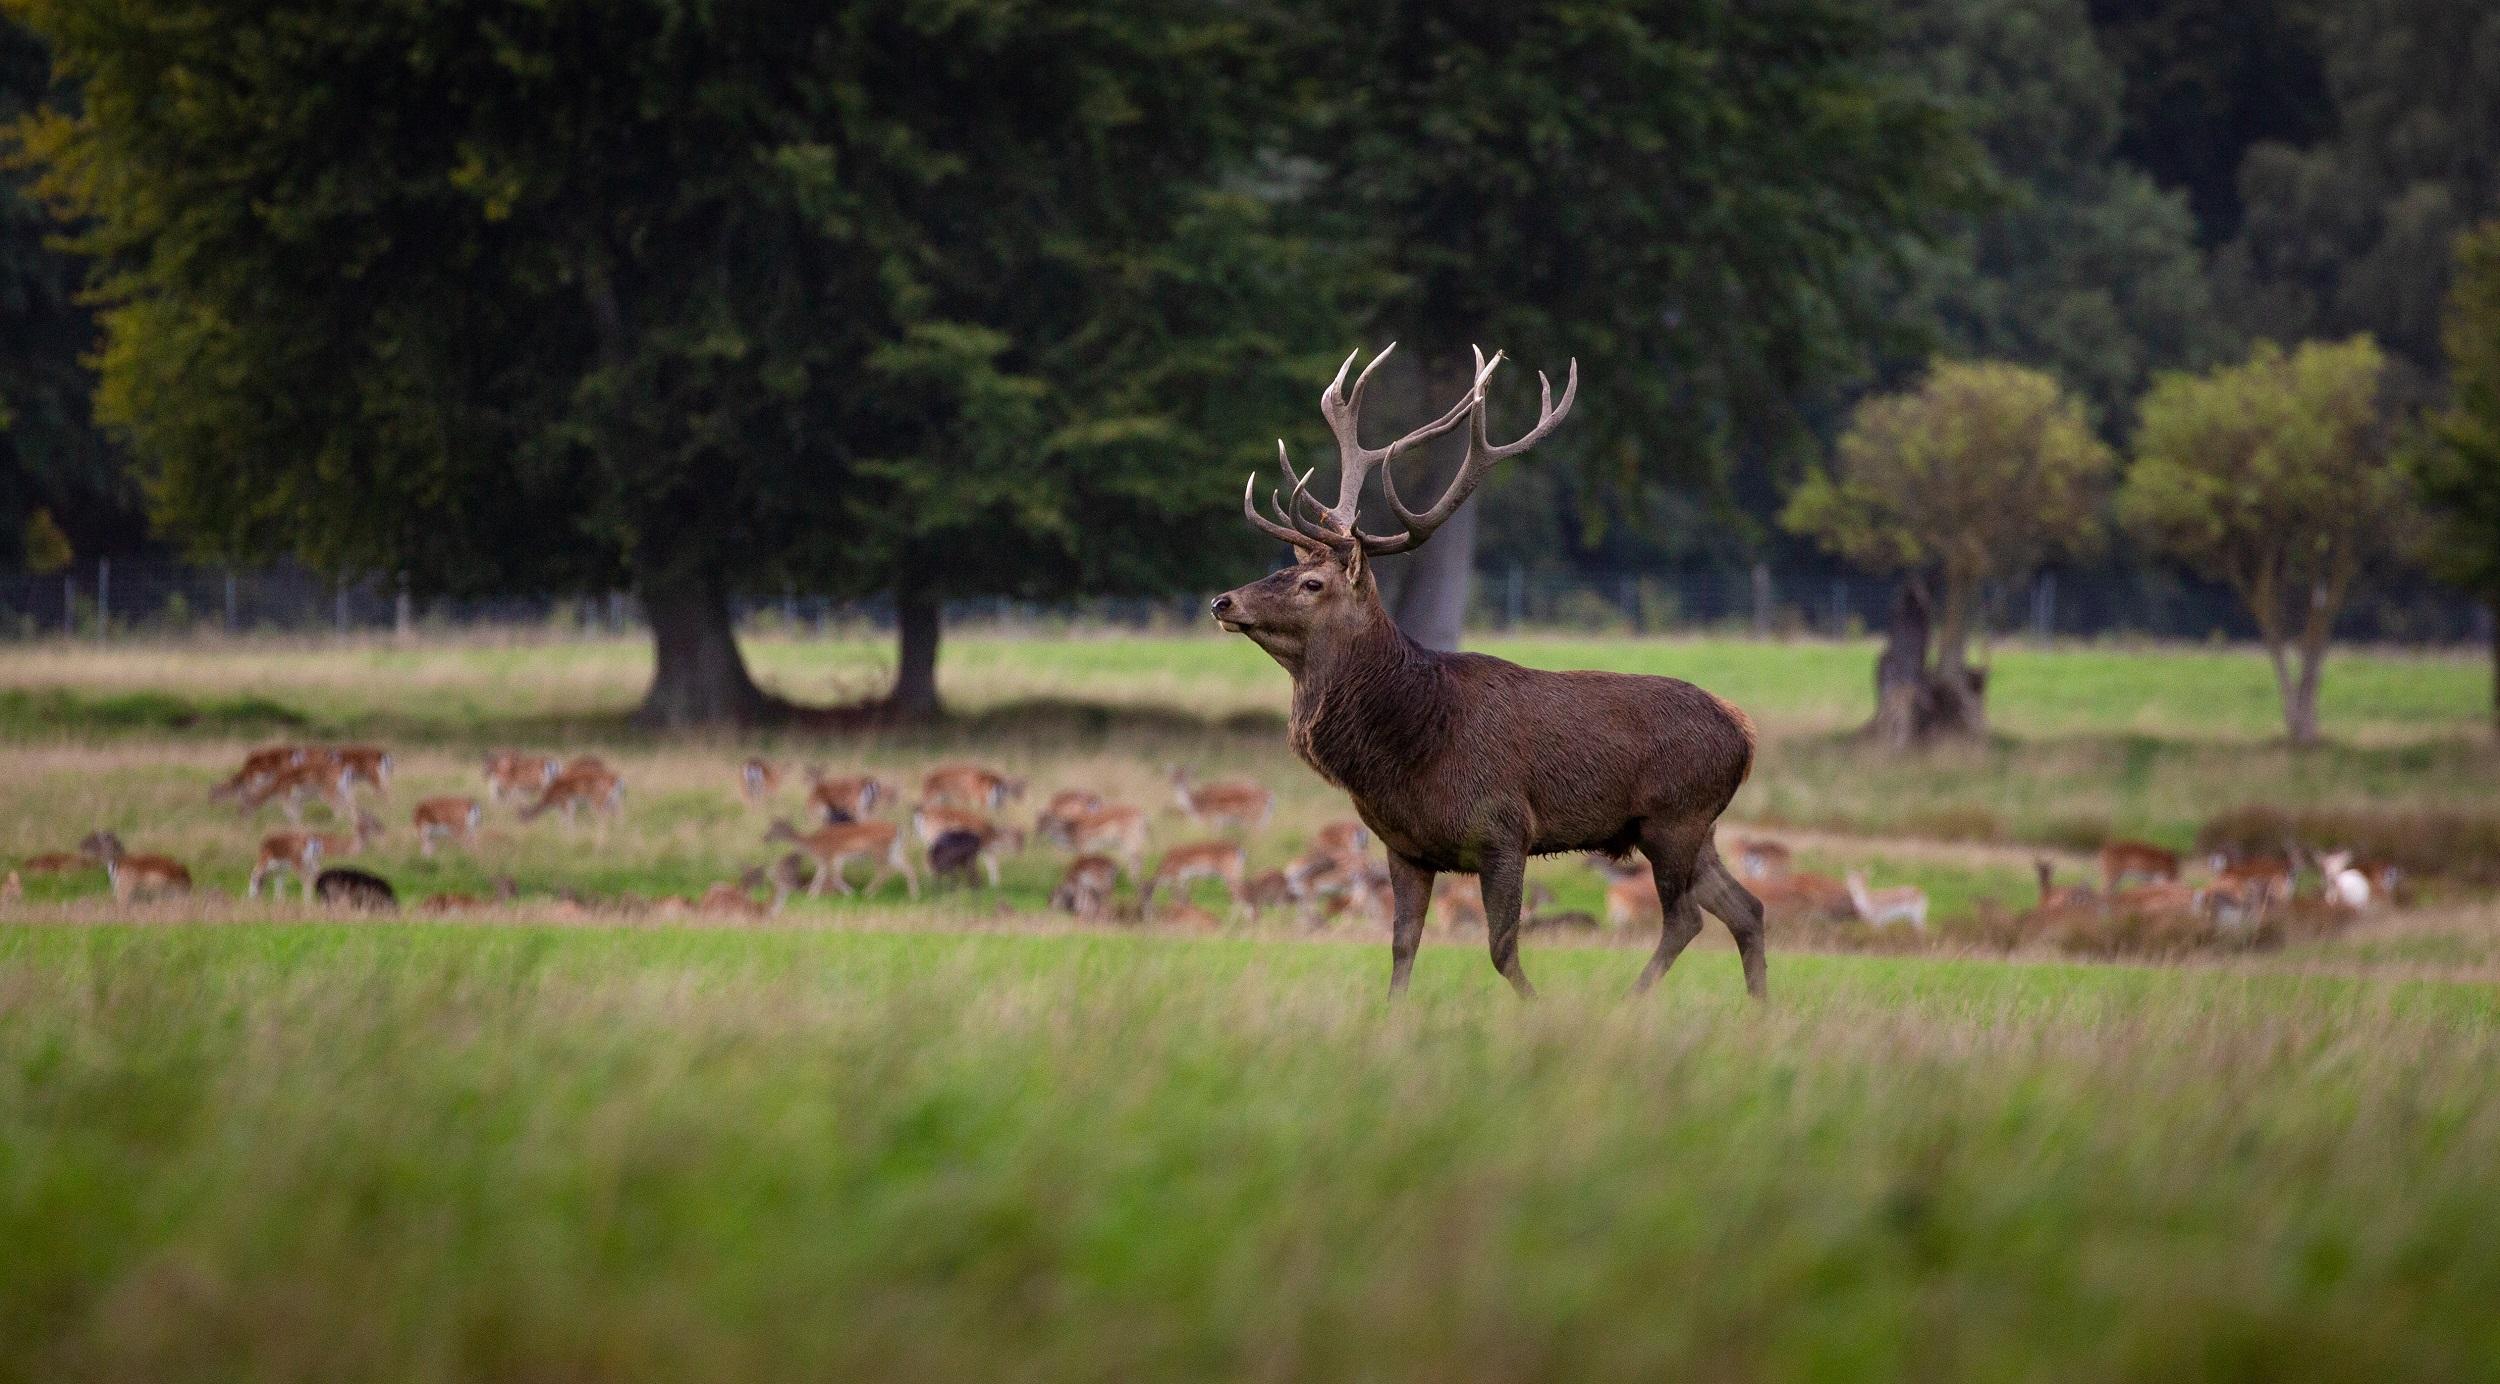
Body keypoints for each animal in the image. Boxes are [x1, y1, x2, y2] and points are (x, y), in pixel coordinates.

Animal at [765, 814, 925, 899]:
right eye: (770, 827)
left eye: (774, 828)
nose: (764, 837)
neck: (813, 845)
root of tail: (898, 829)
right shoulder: (824, 861)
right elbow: (819, 876)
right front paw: (811, 896)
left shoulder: (834, 856)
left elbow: (834, 877)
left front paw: (850, 893)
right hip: (894, 851)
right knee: (908, 868)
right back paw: (914, 895)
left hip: (878, 851)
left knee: (884, 871)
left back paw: (867, 893)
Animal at [1205, 339, 1760, 994]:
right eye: (1286, 568)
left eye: (1311, 583)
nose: (1223, 601)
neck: (1411, 744)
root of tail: (1744, 733)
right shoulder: (1405, 846)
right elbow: (1402, 947)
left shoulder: (1503, 830)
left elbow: (1501, 948)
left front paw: (1538, 1008)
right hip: (1700, 828)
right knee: (1747, 909)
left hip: (1674, 817)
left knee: (1686, 920)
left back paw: (1629, 1002)